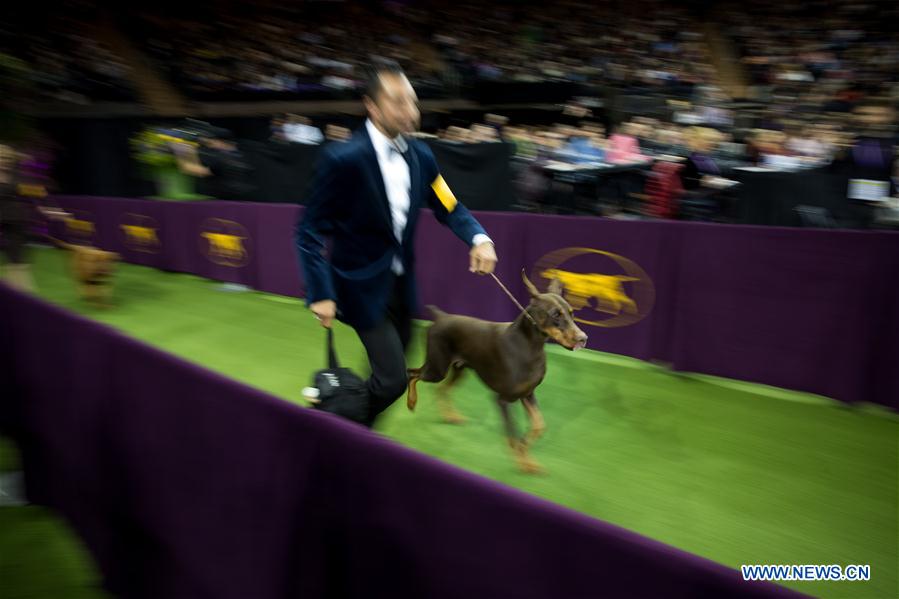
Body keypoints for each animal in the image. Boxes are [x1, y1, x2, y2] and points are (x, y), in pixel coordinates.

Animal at [408, 270, 592, 474]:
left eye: (572, 314)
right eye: (555, 314)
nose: (583, 339)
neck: (530, 346)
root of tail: (441, 317)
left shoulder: (527, 394)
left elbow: (539, 426)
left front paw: (526, 453)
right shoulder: (502, 399)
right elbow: (512, 432)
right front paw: (523, 462)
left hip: (459, 370)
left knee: (440, 388)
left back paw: (451, 416)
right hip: (436, 368)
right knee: (412, 374)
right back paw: (412, 402)